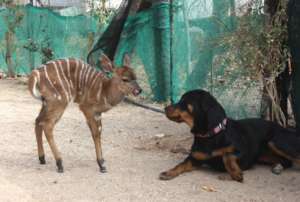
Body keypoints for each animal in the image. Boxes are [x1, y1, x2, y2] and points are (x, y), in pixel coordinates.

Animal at [159, 89, 300, 182]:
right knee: (286, 161)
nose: (165, 108)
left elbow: (227, 155)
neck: (210, 135)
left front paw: (235, 173)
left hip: (275, 141)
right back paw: (277, 167)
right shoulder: (195, 158)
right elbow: (181, 164)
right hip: (264, 155)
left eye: (183, 101)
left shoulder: (244, 152)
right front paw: (169, 172)